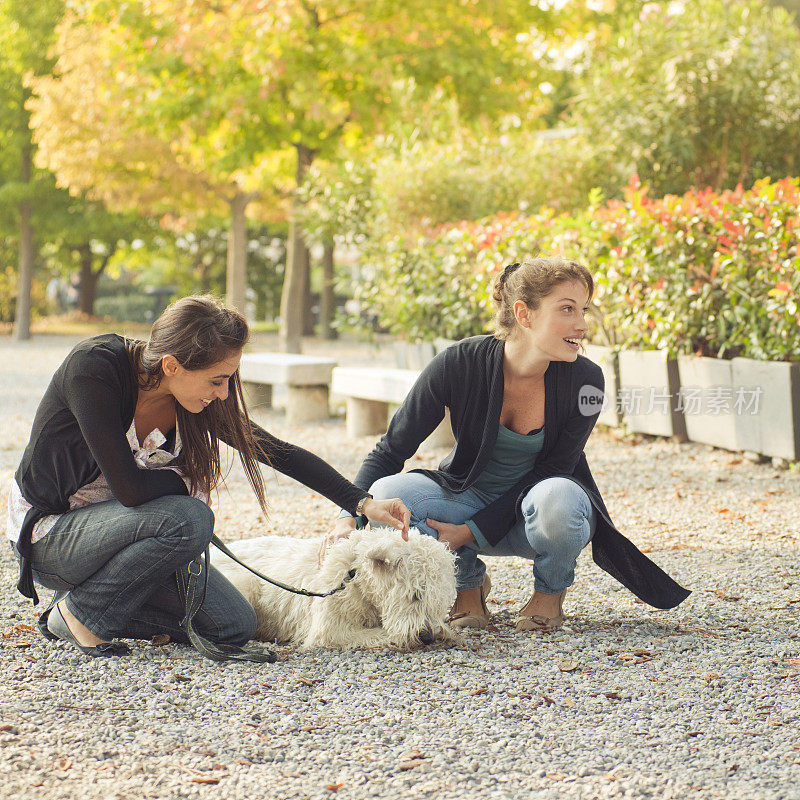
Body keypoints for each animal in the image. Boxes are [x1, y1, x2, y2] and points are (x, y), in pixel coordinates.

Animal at [216, 524, 460, 648]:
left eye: (439, 601)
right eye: (415, 594)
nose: (427, 636)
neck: (354, 577)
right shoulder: (330, 629)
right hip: (245, 583)